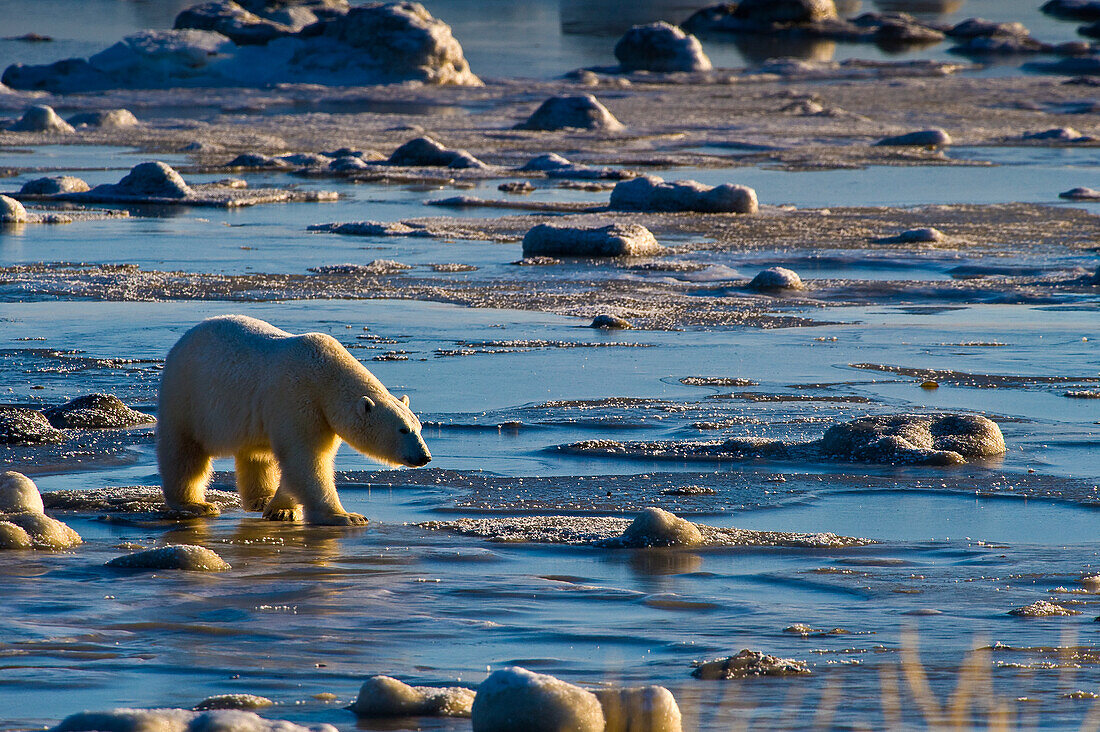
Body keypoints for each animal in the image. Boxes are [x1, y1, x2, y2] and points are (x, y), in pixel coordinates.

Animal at [157, 314, 431, 526]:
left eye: (419, 428)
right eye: (403, 430)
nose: (424, 457)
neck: (327, 375)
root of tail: (184, 339)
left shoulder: (322, 415)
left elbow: (300, 461)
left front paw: (281, 509)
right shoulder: (297, 398)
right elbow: (306, 458)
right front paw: (347, 516)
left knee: (256, 454)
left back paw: (261, 498)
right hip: (187, 394)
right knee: (184, 452)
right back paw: (196, 504)